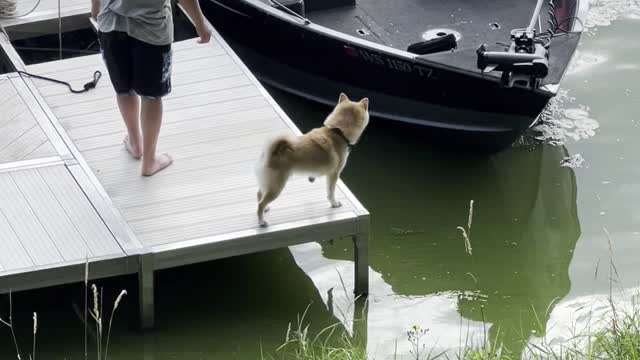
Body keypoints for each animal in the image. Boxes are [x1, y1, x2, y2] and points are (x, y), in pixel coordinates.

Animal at [252, 94, 368, 226]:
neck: (338, 131)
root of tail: (271, 152)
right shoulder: (334, 174)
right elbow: (331, 192)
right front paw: (334, 204)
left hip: (267, 183)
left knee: (259, 194)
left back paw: (265, 209)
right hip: (276, 186)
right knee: (260, 203)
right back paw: (261, 221)